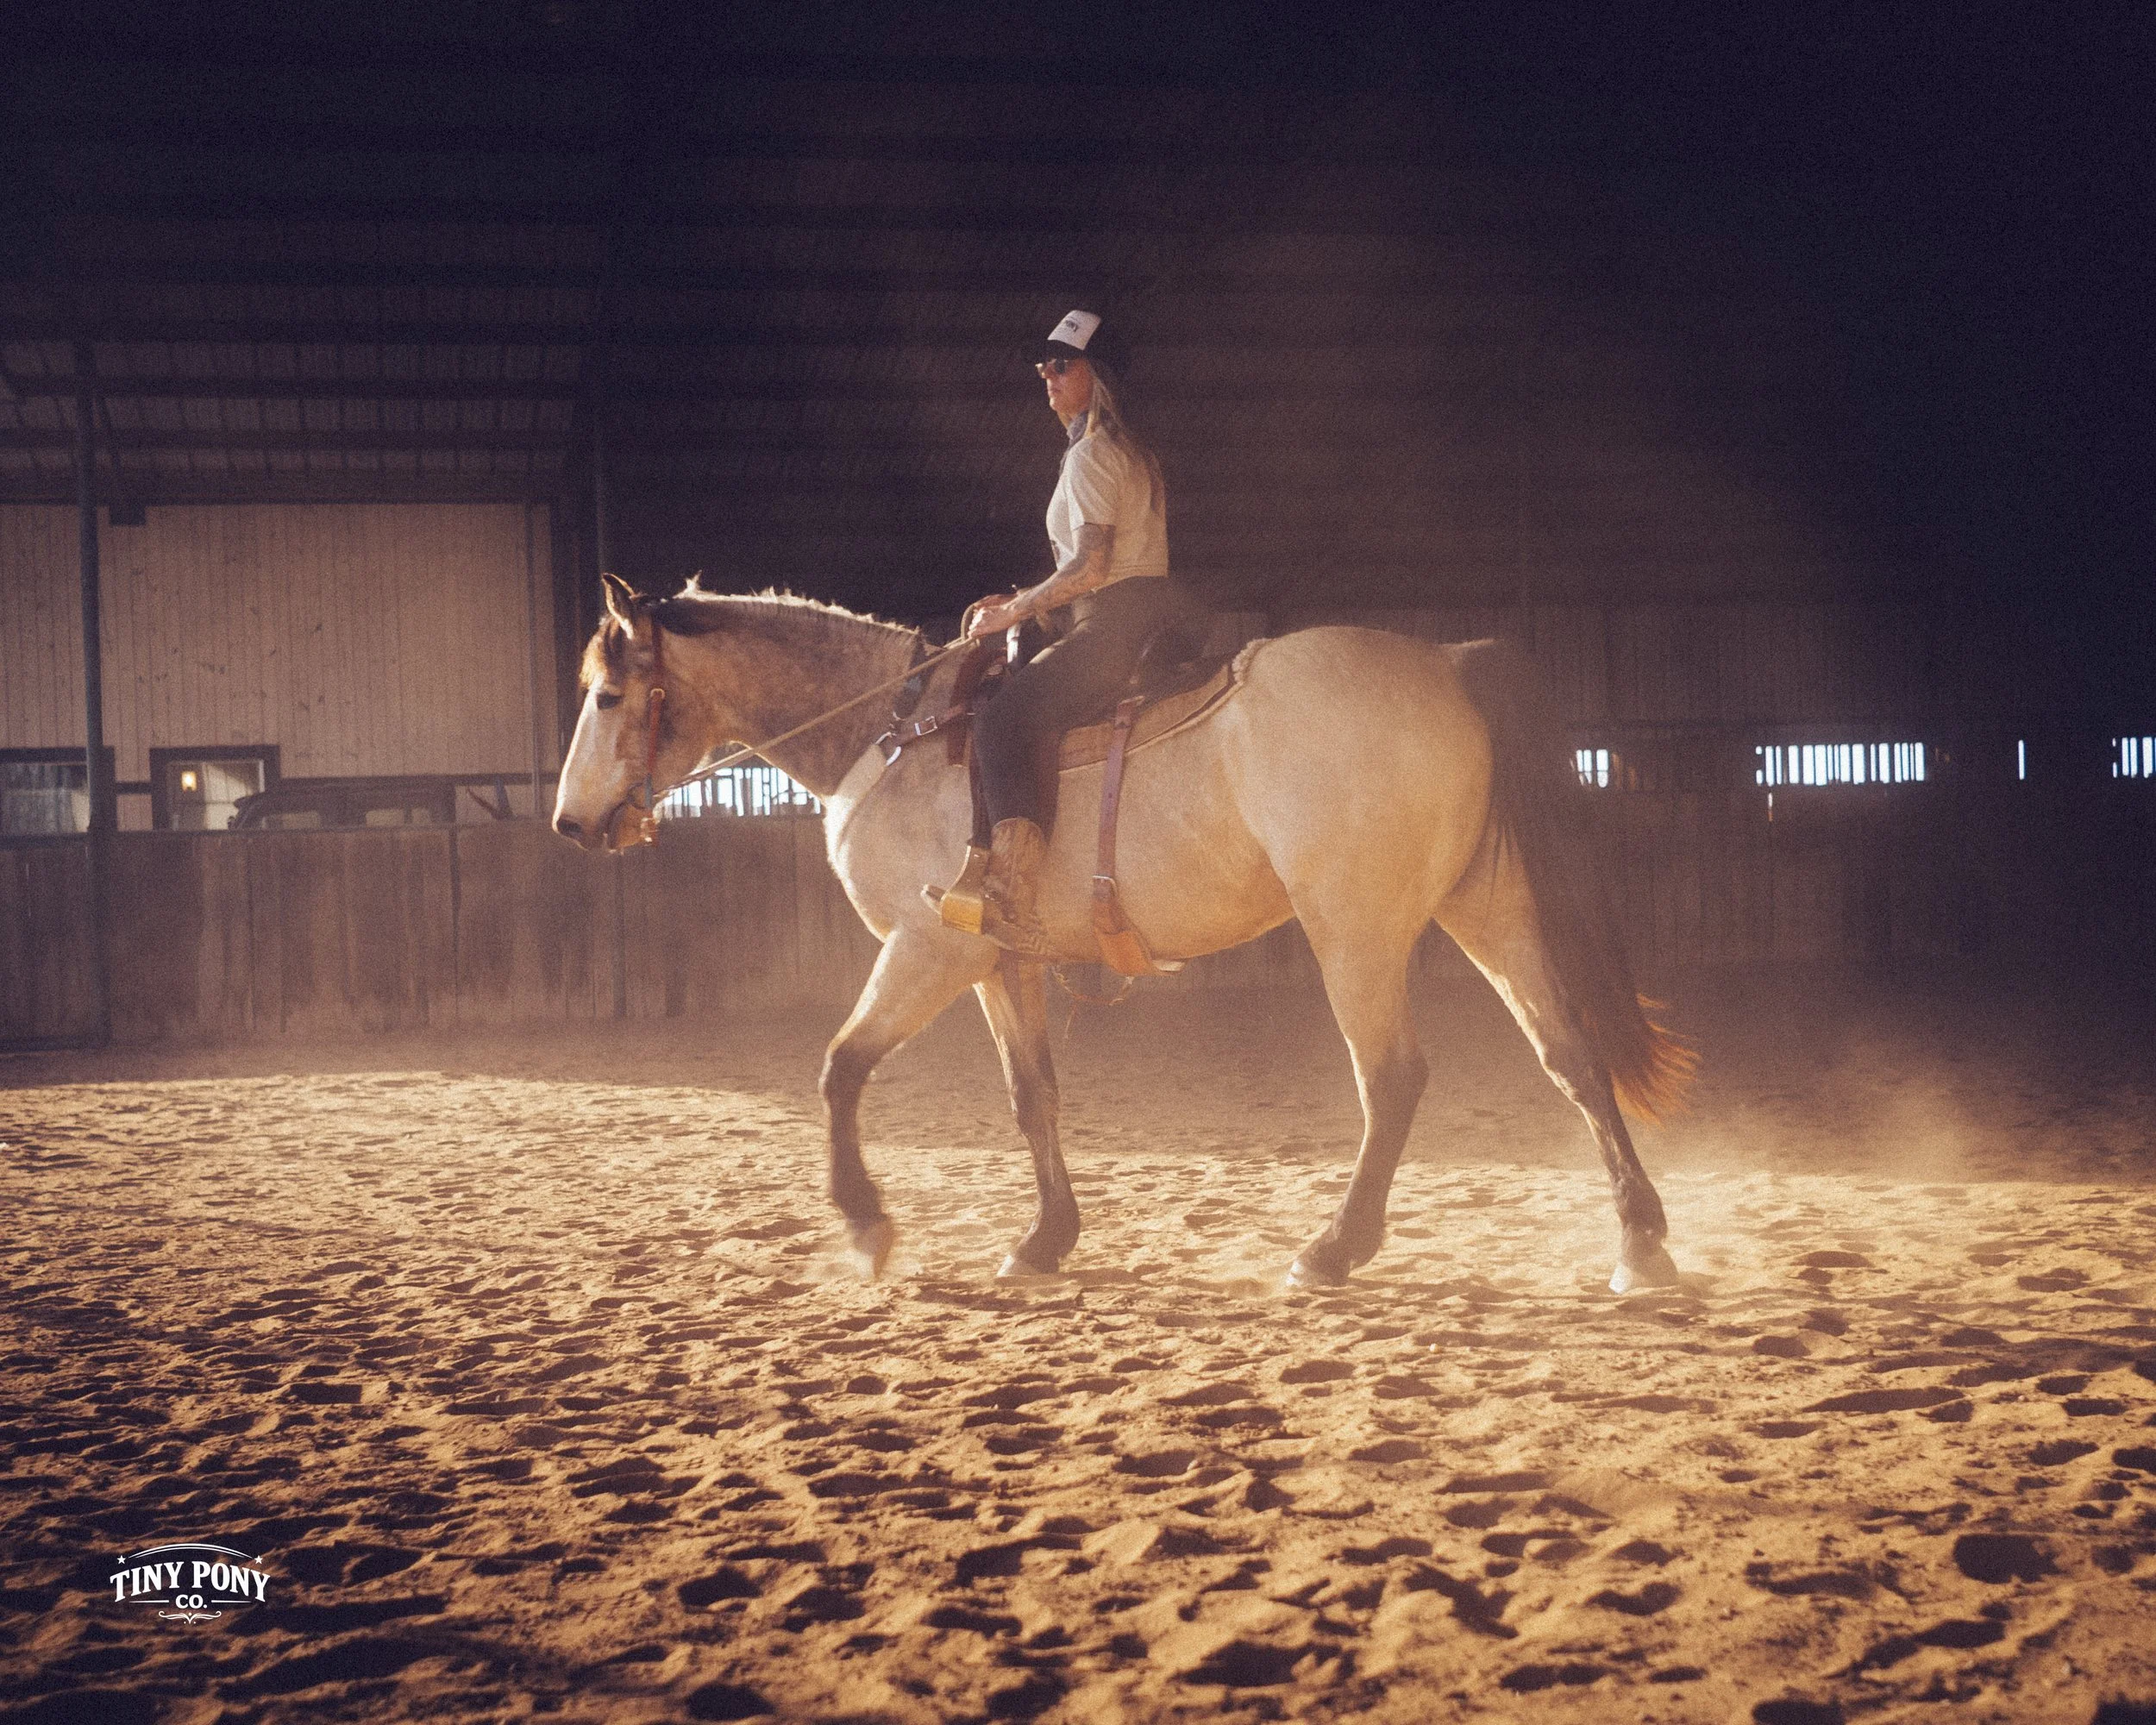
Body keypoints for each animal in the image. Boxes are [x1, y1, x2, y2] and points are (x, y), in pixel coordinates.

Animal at [552, 574, 1690, 1293]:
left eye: (608, 694)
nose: (570, 823)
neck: (896, 732)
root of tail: (1449, 661)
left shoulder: (928, 949)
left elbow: (839, 1069)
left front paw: (867, 1227)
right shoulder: (999, 962)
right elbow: (1033, 1096)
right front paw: (1044, 1240)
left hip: (1356, 931)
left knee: (1395, 1077)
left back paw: (1331, 1248)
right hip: (1485, 908)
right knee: (1570, 1055)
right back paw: (1640, 1245)